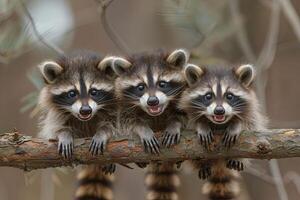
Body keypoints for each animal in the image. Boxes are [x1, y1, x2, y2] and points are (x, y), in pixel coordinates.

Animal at [36, 50, 117, 200]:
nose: (85, 110)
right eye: (72, 93)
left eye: (94, 92)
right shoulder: (55, 113)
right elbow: (54, 129)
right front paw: (64, 134)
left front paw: (103, 132)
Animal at [106, 49, 189, 200]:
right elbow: (128, 121)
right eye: (141, 87)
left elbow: (181, 116)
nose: (152, 101)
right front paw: (143, 129)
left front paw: (174, 125)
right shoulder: (122, 103)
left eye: (162, 84)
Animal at [178, 63, 268, 199]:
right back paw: (202, 163)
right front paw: (201, 124)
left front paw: (236, 124)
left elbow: (250, 124)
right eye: (208, 96)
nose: (219, 111)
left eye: (229, 96)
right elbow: (190, 123)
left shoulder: (251, 113)